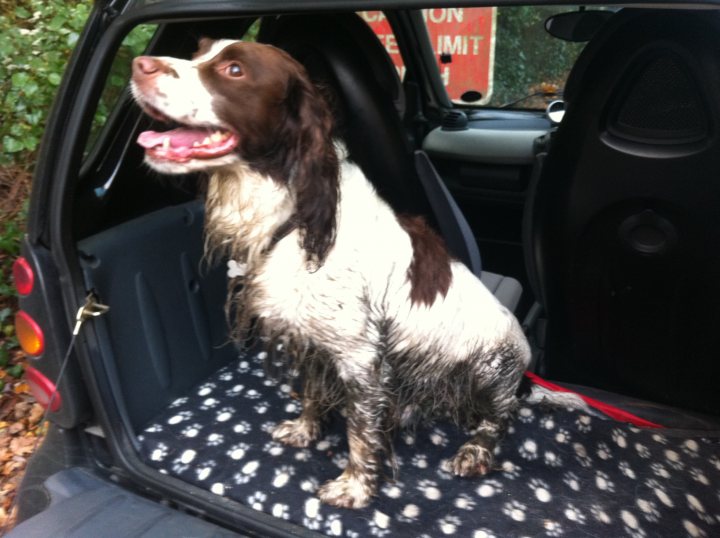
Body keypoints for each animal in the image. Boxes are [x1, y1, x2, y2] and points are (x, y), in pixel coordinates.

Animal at [132, 37, 532, 506]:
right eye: (198, 52)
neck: (294, 217)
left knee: (500, 417)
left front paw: (354, 488)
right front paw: (306, 430)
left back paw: (474, 451)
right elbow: (311, 391)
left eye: (234, 70)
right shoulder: (311, 338)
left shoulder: (360, 357)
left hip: (491, 370)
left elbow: (361, 430)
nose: (139, 66)